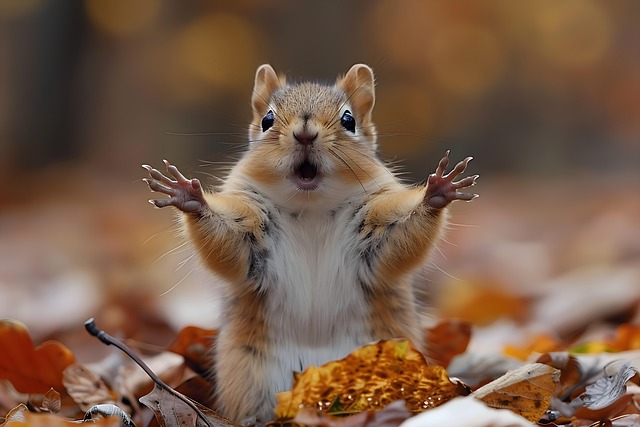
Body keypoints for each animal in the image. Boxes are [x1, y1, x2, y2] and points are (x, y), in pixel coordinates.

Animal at [143, 64, 478, 423]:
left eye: (349, 120)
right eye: (267, 120)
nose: (304, 134)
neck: (310, 207)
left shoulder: (377, 230)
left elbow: (400, 235)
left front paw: (436, 193)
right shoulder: (251, 232)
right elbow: (231, 244)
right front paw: (190, 197)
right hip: (247, 375)